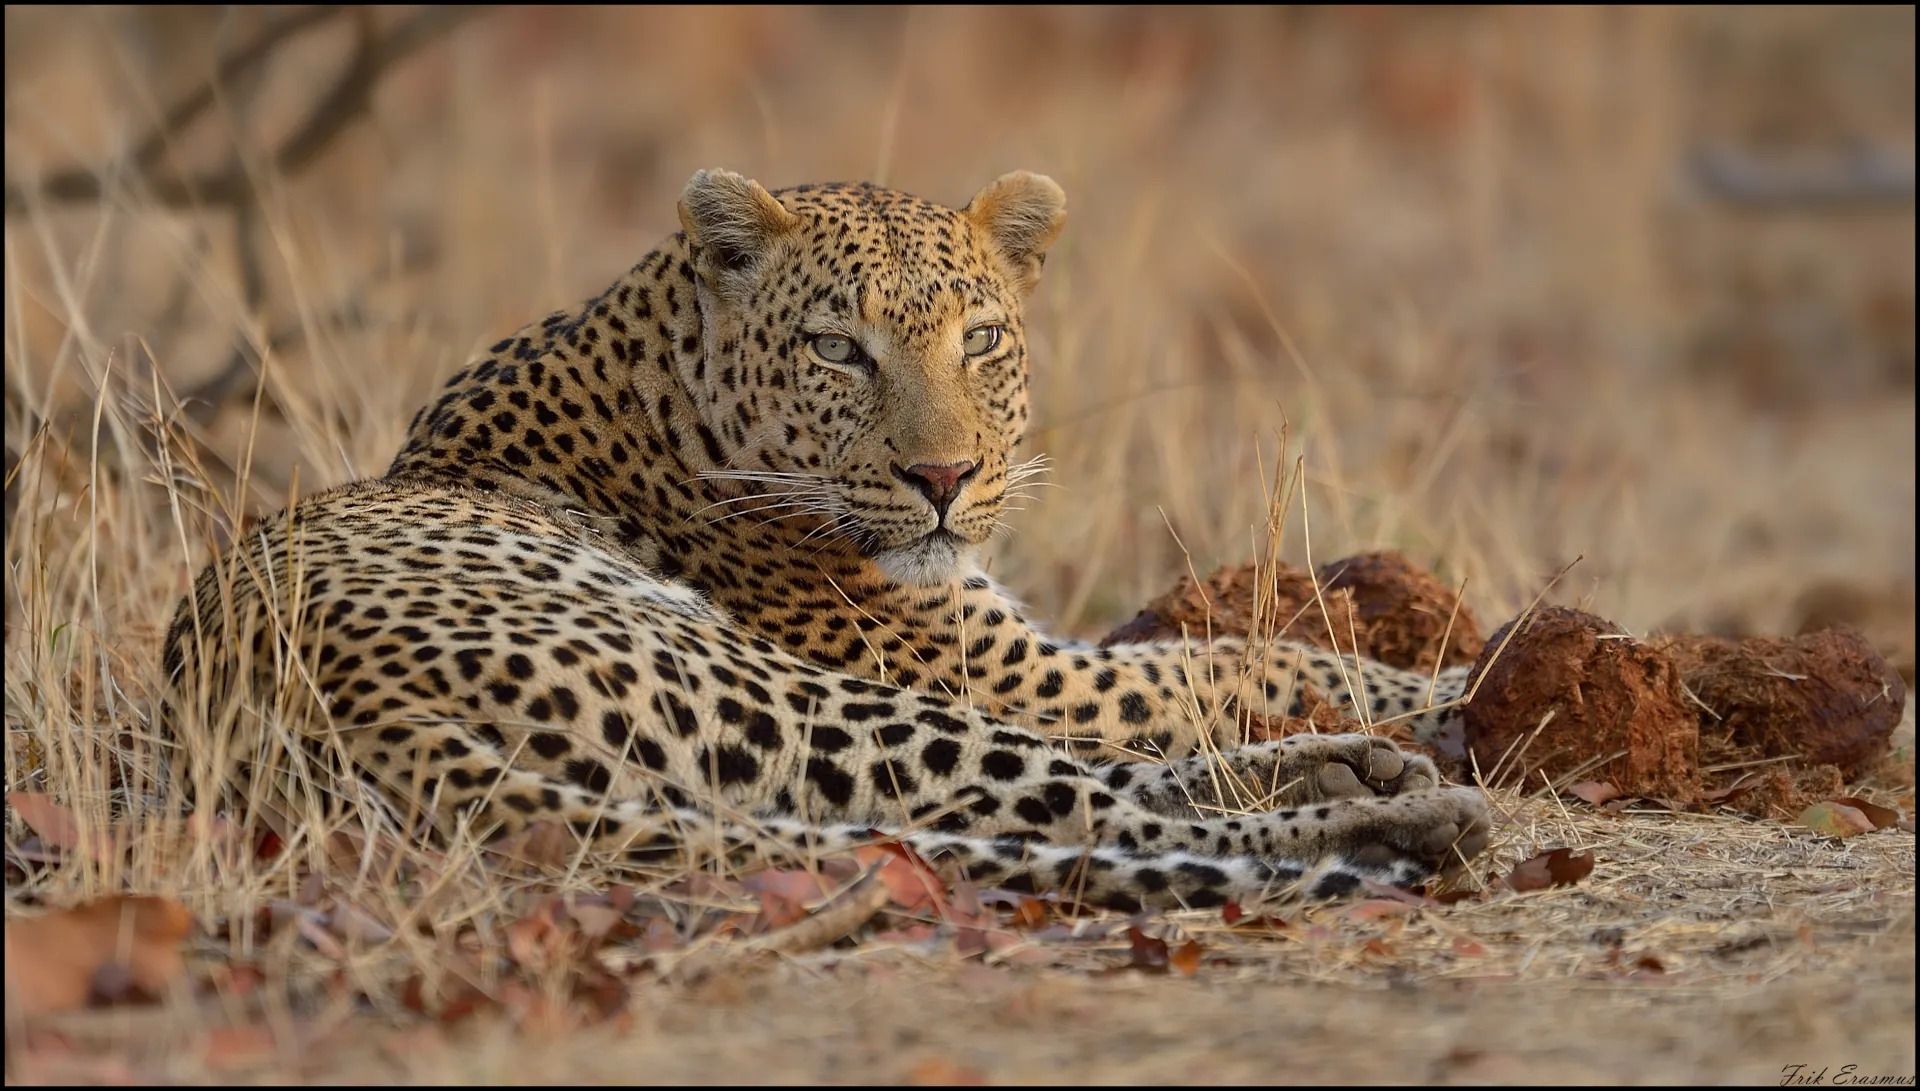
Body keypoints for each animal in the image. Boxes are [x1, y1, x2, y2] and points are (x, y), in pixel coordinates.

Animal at [161, 168, 1493, 912]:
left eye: (981, 340)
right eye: (838, 349)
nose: (944, 478)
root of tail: (300, 711)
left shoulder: (1025, 653)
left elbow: (1213, 663)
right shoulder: (1008, 665)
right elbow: (1237, 661)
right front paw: (1451, 682)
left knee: (1077, 796)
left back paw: (1358, 775)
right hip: (772, 689)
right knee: (1084, 802)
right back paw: (1390, 818)